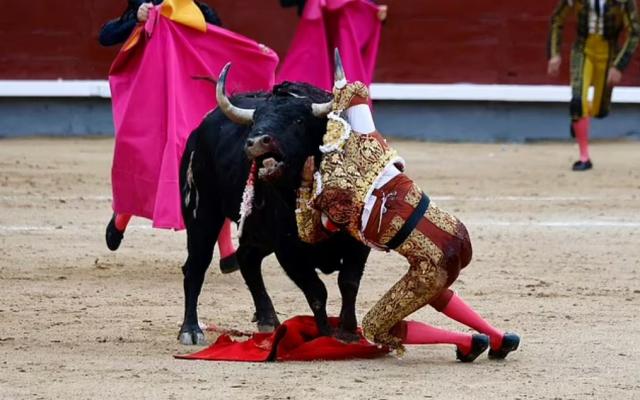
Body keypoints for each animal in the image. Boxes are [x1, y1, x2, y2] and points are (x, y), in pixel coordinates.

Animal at [178, 80, 372, 344]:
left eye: (298, 120)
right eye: (255, 121)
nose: (257, 141)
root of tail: (199, 130)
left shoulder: (359, 241)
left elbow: (348, 282)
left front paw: (348, 331)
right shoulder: (288, 250)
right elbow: (317, 291)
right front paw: (325, 334)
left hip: (257, 232)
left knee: (247, 258)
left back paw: (268, 319)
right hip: (202, 214)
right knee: (196, 266)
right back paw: (191, 329)